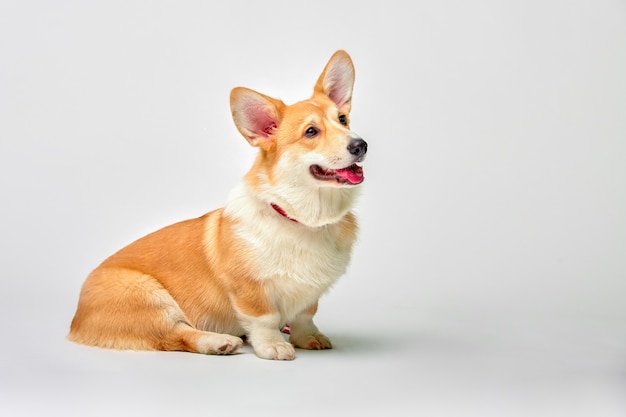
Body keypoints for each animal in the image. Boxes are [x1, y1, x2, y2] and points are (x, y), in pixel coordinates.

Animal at [68, 50, 366, 360]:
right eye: (310, 132)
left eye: (343, 119)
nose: (361, 145)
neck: (302, 219)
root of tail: (76, 321)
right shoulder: (251, 290)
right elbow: (265, 319)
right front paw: (272, 346)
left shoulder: (310, 295)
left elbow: (305, 316)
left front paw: (307, 338)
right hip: (149, 296)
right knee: (175, 335)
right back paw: (217, 342)